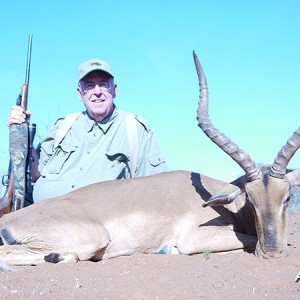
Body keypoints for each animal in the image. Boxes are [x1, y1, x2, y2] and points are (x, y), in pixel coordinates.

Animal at [0, 52, 298, 268]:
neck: (225, 207)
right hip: (91, 239)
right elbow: (244, 241)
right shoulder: (196, 240)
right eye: (251, 199)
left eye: (287, 197)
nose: (272, 253)